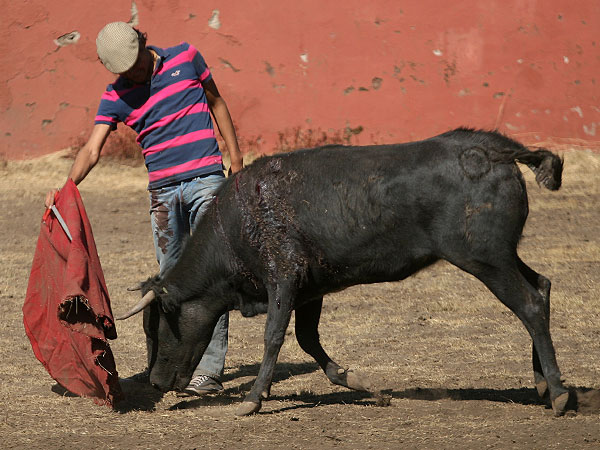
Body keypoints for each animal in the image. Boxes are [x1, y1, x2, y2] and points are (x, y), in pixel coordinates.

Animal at [116, 126, 568, 414]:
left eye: (159, 326)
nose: (155, 383)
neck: (237, 225)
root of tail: (497, 150)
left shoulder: (283, 278)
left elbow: (274, 337)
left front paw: (252, 400)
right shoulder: (309, 289)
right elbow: (308, 340)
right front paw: (365, 387)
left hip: (485, 259)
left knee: (529, 304)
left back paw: (560, 394)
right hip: (501, 256)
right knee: (542, 287)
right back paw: (543, 384)